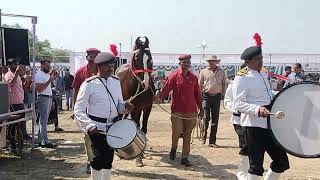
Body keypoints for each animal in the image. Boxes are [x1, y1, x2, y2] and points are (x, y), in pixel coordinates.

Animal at [115, 35, 155, 167]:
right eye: (137, 57)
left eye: (150, 57)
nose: (146, 83)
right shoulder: (134, 109)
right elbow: (136, 125)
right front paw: (138, 158)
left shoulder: (147, 108)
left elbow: (144, 129)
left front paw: (142, 155)